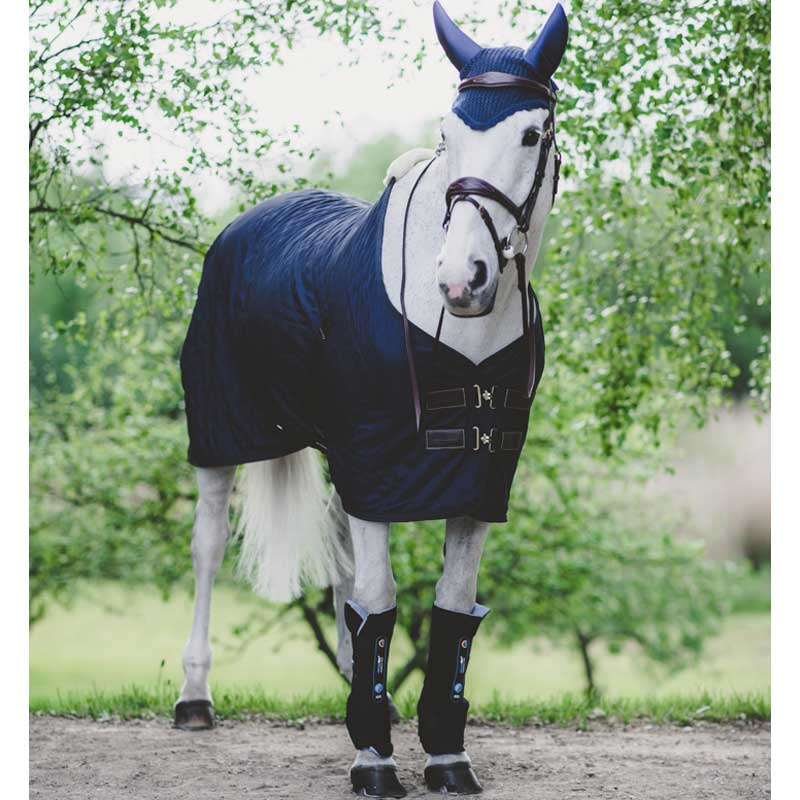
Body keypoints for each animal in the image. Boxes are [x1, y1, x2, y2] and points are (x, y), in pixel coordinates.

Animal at [174, 2, 568, 796]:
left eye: (531, 134)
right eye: (448, 135)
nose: (462, 278)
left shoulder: (476, 482)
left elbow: (450, 609)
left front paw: (442, 752)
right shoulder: (376, 465)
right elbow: (381, 600)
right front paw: (377, 761)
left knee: (339, 562)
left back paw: (364, 704)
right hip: (221, 434)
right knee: (208, 545)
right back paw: (195, 697)